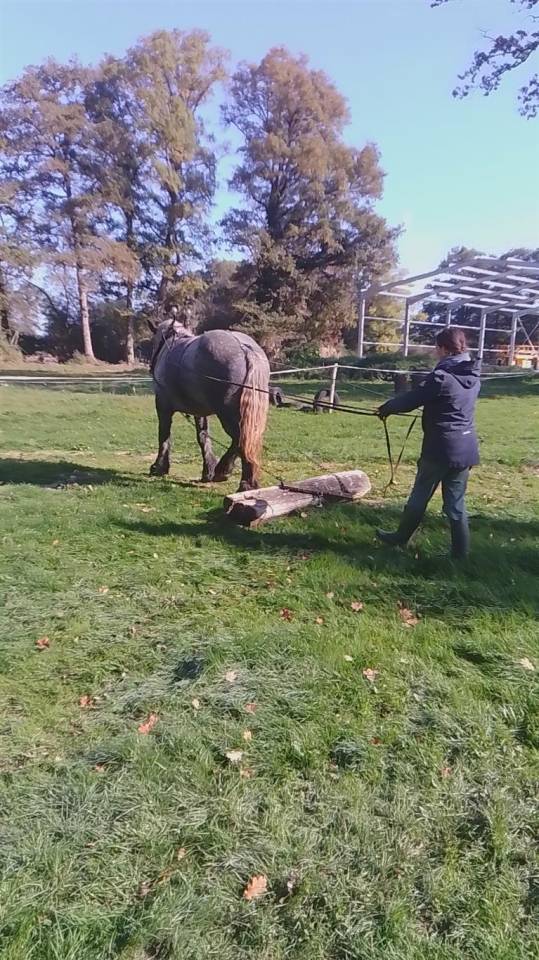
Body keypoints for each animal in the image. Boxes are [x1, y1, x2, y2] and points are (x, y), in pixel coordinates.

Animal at [147, 316, 270, 491]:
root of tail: (245, 348)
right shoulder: (199, 412)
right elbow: (203, 436)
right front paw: (208, 470)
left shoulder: (163, 407)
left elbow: (164, 436)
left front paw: (159, 467)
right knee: (244, 440)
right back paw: (224, 472)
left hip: (227, 414)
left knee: (241, 439)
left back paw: (242, 481)